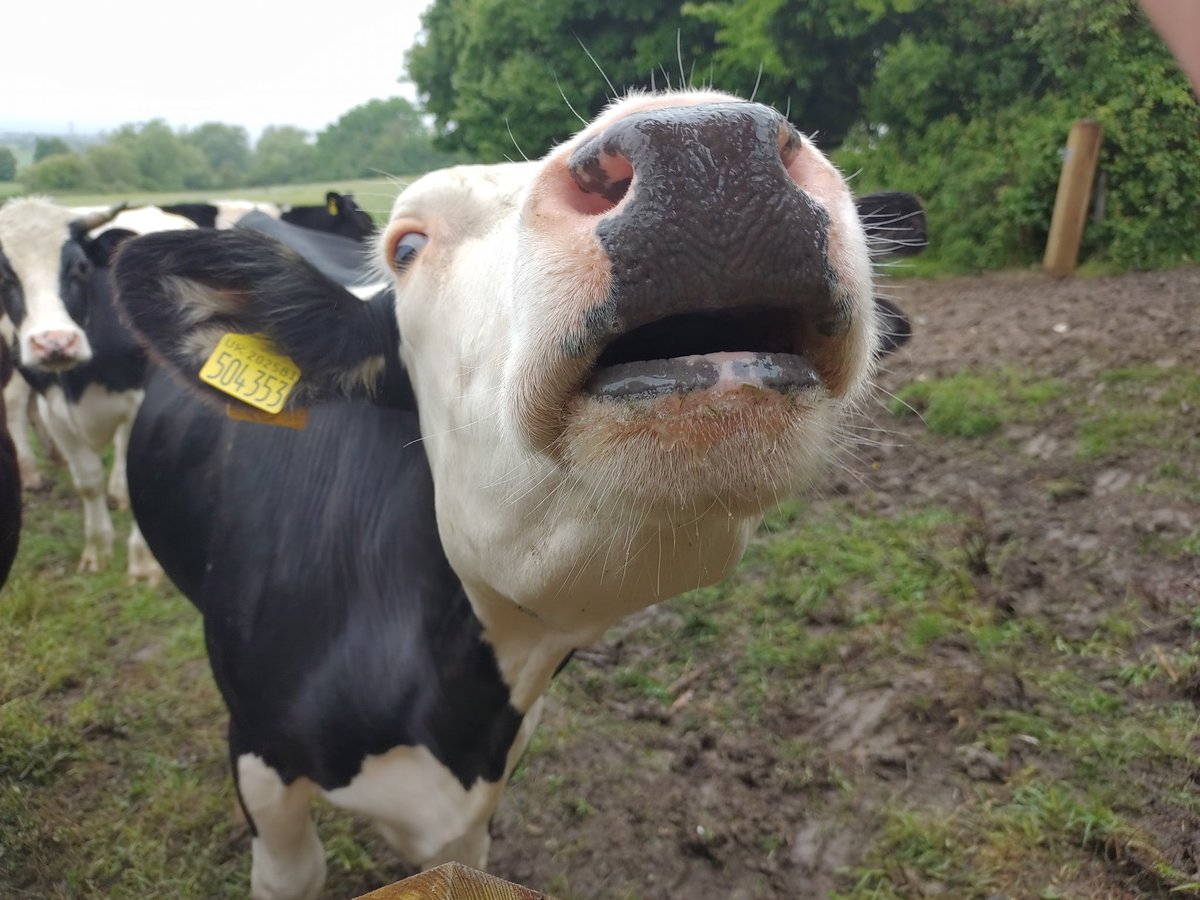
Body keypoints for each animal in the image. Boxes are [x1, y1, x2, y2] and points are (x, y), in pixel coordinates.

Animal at [0, 198, 193, 578]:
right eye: (2, 275)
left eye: (80, 266)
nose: (55, 342)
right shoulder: (54, 409)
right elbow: (88, 481)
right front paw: (97, 550)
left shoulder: (138, 403)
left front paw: (144, 563)